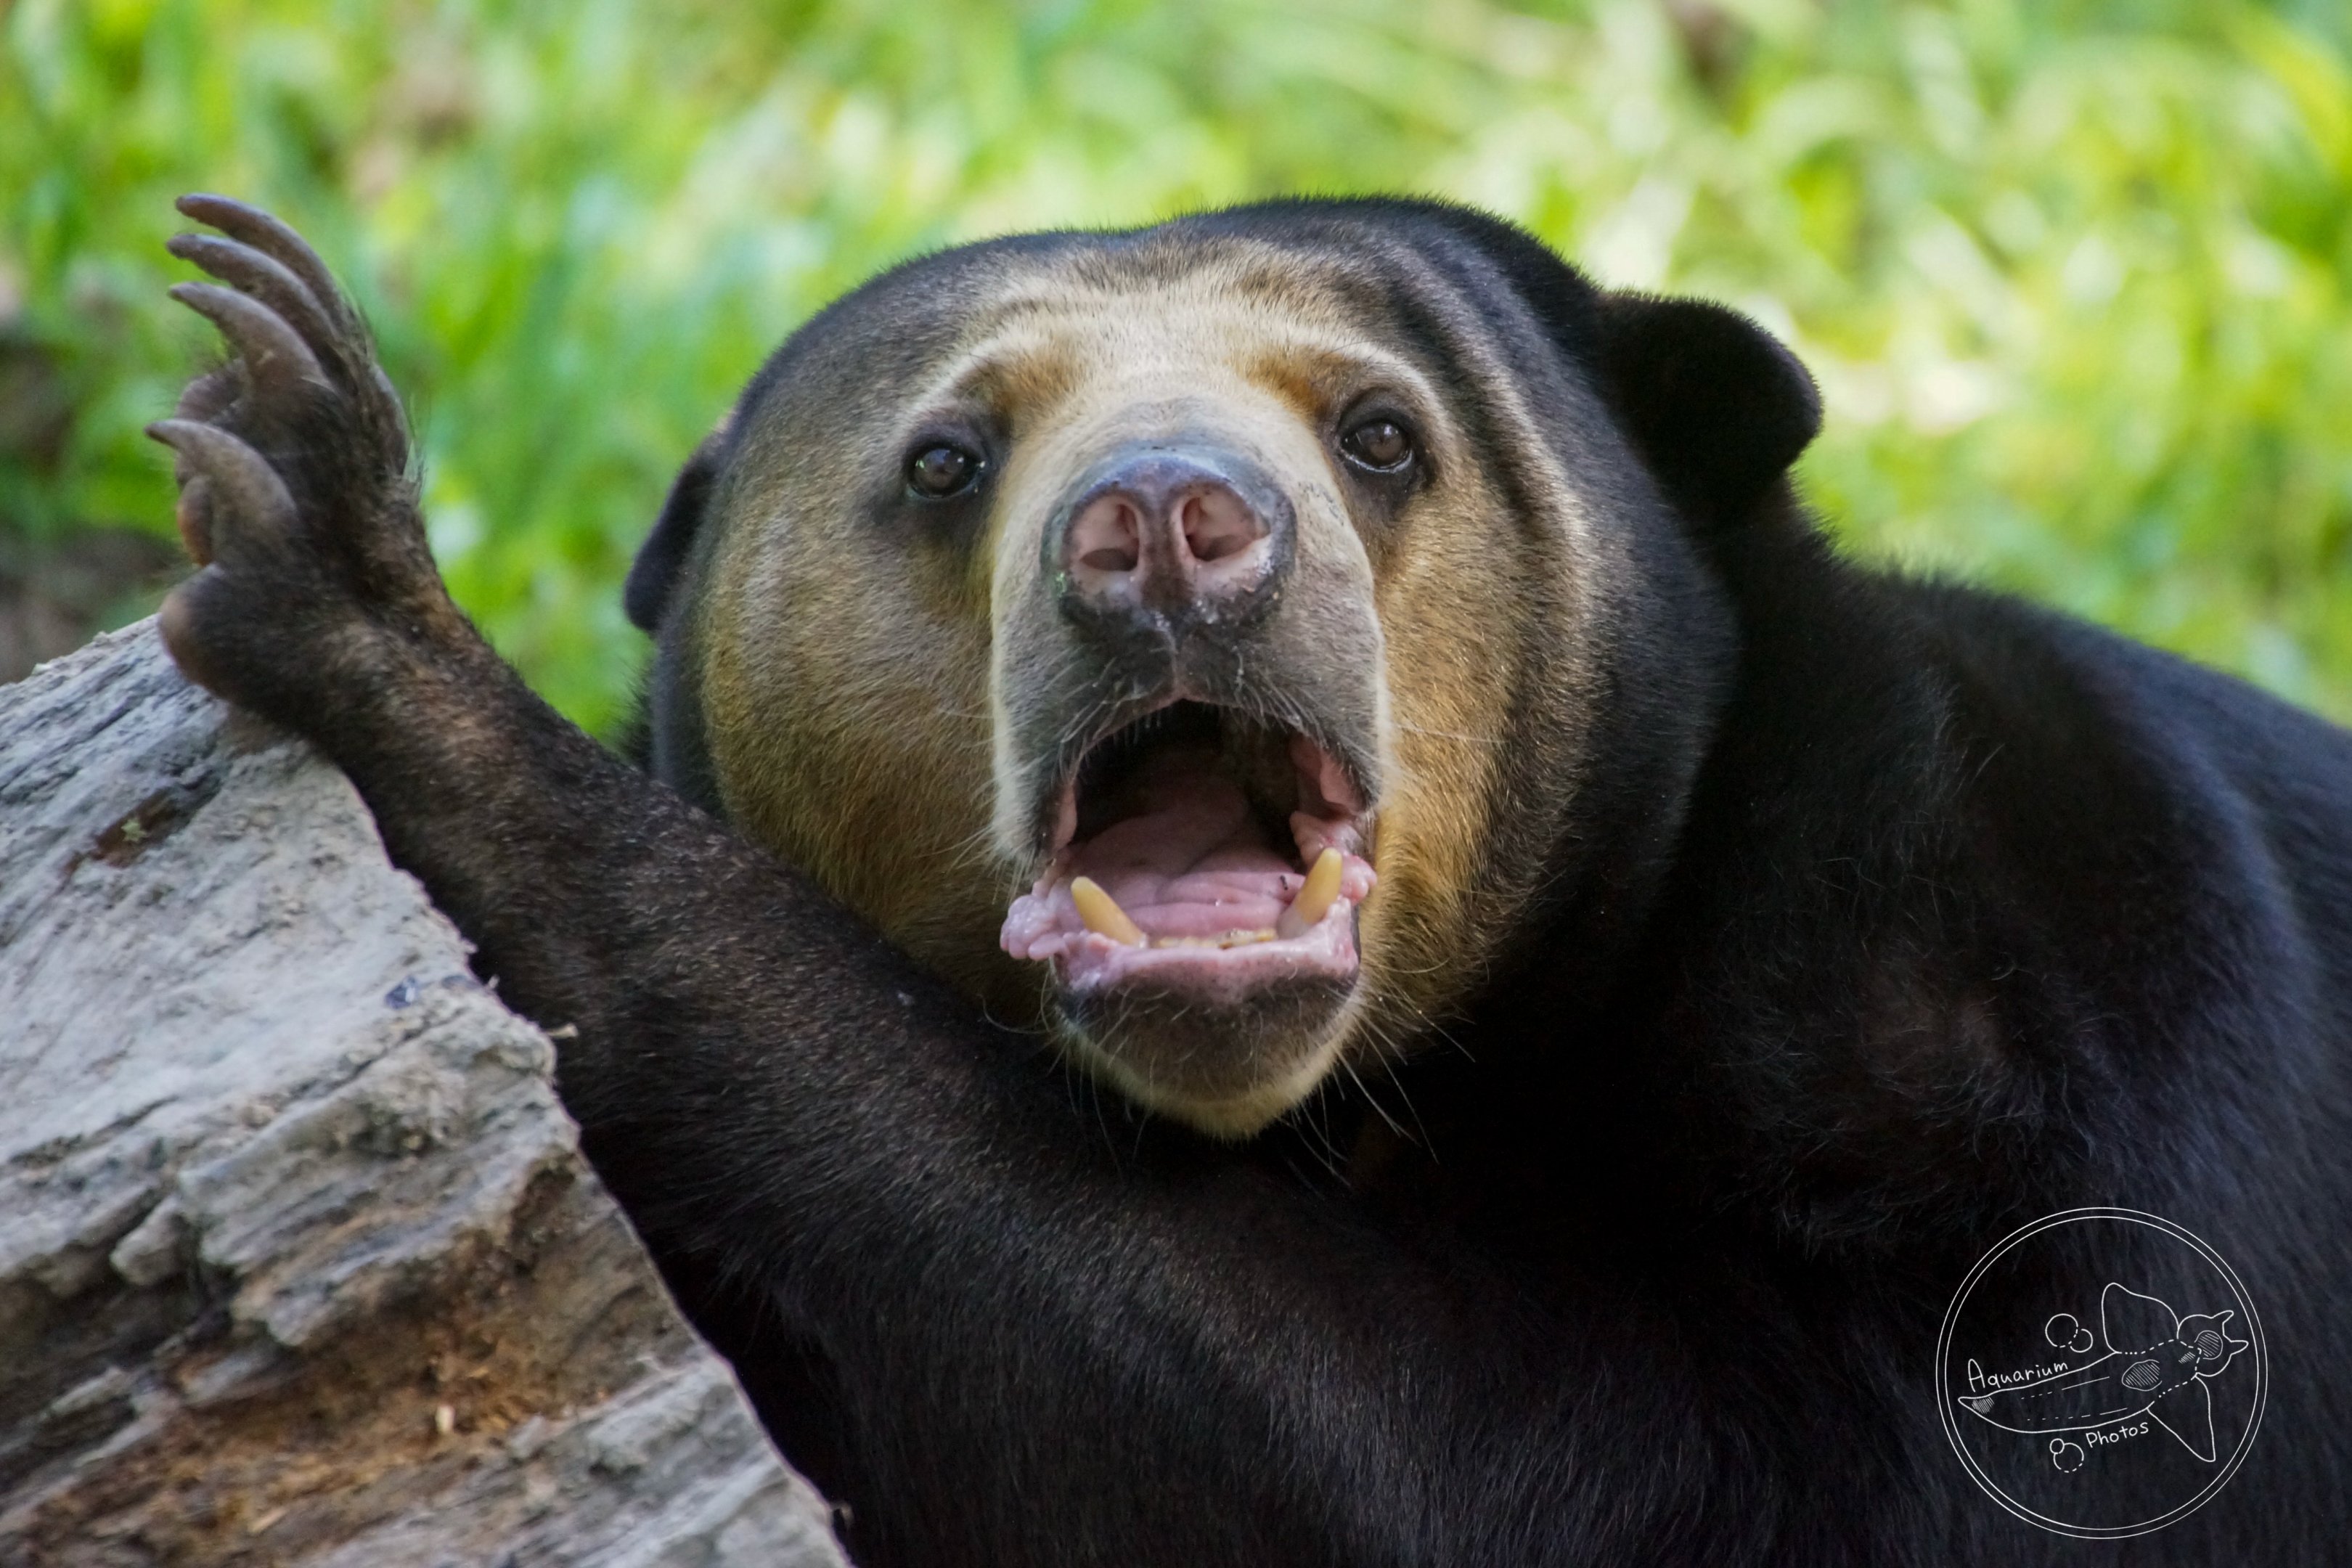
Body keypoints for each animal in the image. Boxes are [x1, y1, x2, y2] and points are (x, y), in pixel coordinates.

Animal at [148, 192, 2352, 1565]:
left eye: (1380, 435)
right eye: (948, 461)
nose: (1165, 529)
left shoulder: (1977, 1087)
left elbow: (1469, 1467)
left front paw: (348, 568)